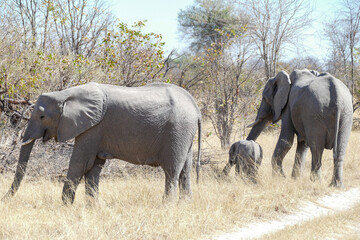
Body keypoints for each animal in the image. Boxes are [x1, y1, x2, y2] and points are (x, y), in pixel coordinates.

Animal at [2, 81, 202, 203]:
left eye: (42, 116)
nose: (5, 200)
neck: (66, 94)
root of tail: (195, 106)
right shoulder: (95, 131)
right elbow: (93, 168)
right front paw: (92, 207)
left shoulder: (93, 128)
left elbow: (80, 163)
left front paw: (65, 207)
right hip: (185, 134)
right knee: (186, 171)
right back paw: (185, 204)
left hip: (177, 131)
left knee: (172, 171)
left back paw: (167, 205)